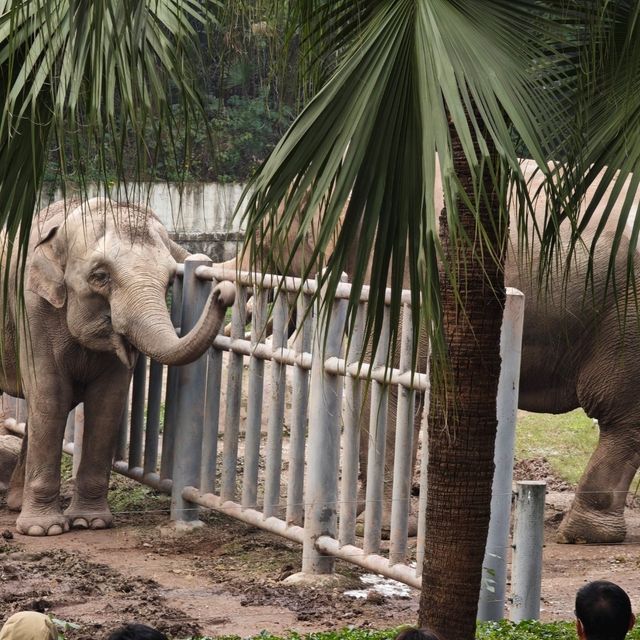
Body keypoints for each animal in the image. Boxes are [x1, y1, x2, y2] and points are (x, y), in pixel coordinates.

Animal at [0, 198, 235, 536]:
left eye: (169, 280)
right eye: (100, 276)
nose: (223, 291)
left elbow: (107, 402)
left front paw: (91, 522)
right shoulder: (32, 309)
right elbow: (50, 397)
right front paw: (43, 530)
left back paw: (17, 503)